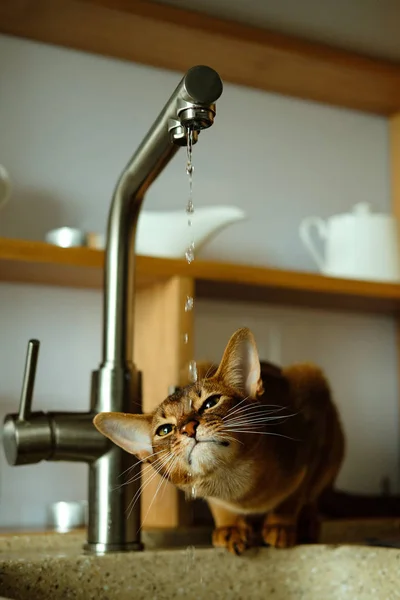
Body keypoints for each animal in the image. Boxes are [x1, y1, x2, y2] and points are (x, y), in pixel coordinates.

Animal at [93, 326, 344, 556]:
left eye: (211, 402)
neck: (238, 489)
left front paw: (281, 525)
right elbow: (218, 505)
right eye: (165, 430)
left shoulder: (310, 428)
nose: (188, 428)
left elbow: (296, 494)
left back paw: (307, 523)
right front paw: (230, 526)